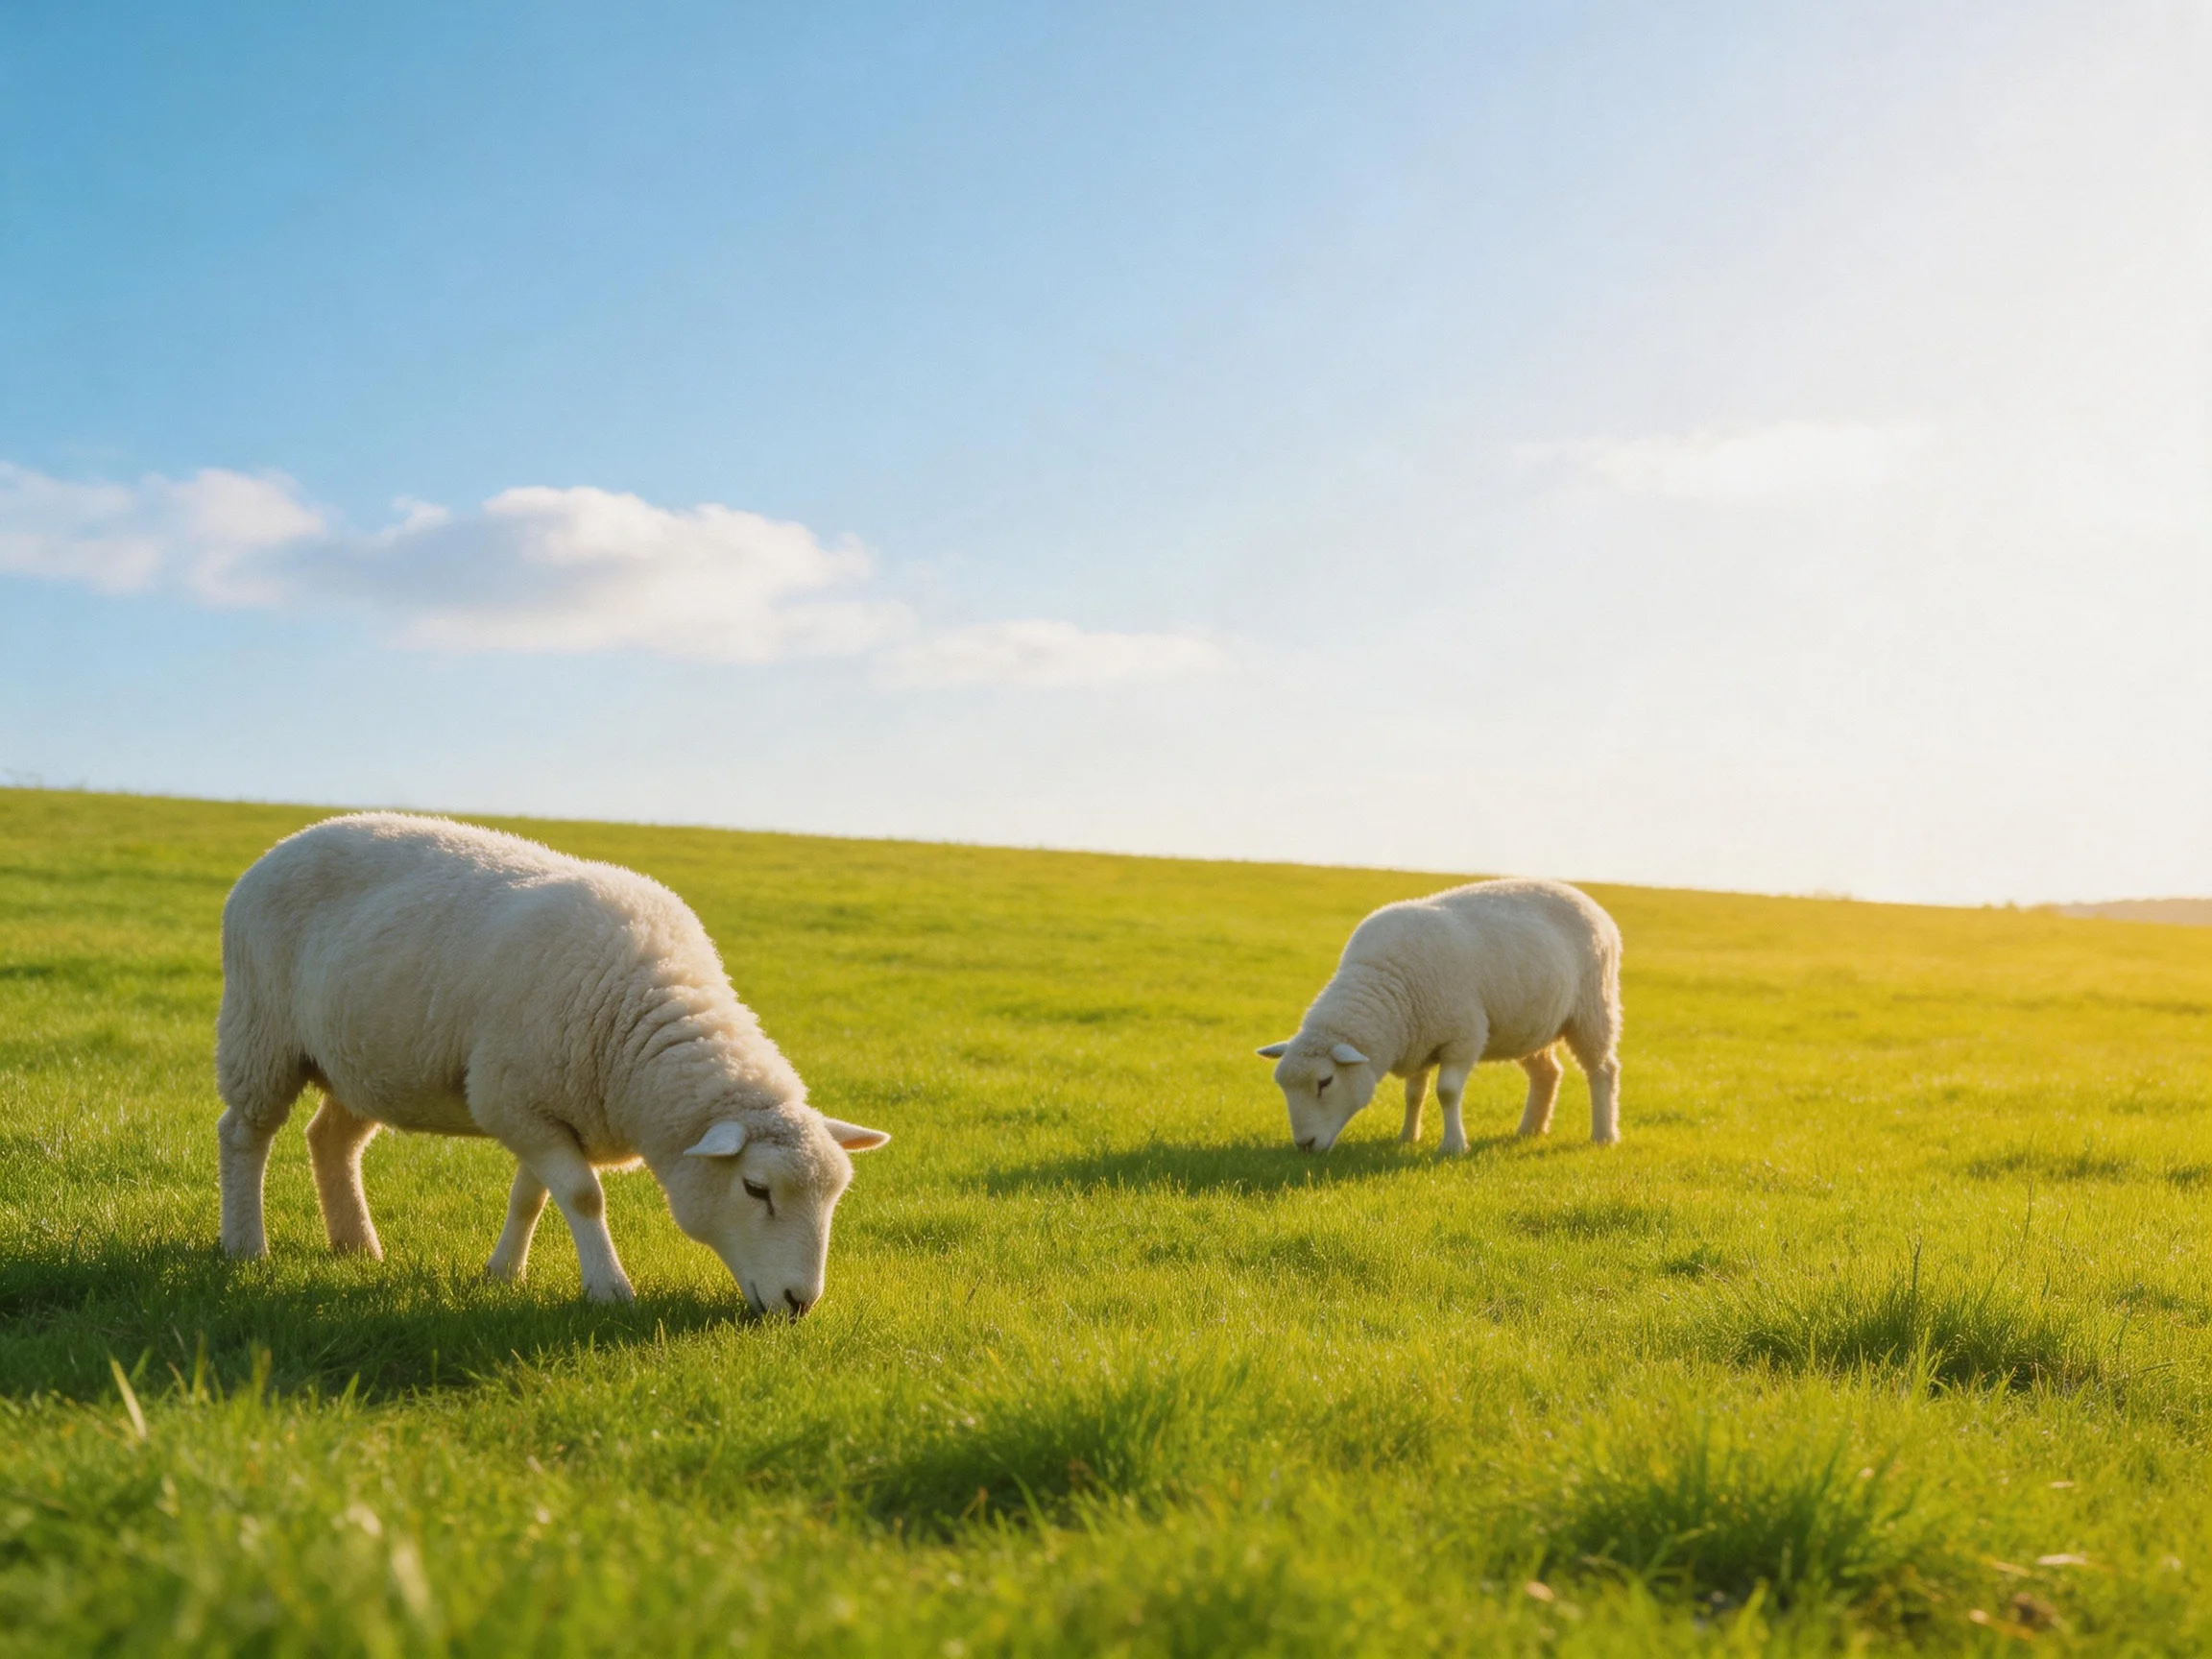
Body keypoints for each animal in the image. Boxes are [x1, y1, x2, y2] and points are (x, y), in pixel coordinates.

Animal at [214, 813, 889, 1314]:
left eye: (834, 1197)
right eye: (756, 1189)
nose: (800, 1302)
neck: (634, 1021)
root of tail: (283, 845)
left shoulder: (546, 1106)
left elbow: (532, 1197)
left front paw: (501, 1274)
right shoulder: (510, 1098)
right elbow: (583, 1196)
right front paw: (609, 1289)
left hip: (363, 1060)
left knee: (331, 1140)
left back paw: (356, 1247)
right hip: (260, 1029)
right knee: (244, 1134)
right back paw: (246, 1247)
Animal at [1256, 878, 1622, 1154]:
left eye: (1325, 1082)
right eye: (1283, 1086)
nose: (1304, 1145)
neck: (1385, 982)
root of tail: (1587, 899)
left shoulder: (1464, 1037)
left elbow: (1446, 1092)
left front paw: (1454, 1146)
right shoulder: (1418, 1038)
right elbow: (1413, 1094)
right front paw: (1407, 1137)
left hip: (1593, 1009)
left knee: (1603, 1070)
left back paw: (1603, 1135)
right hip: (1527, 1025)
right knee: (1547, 1073)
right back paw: (1530, 1129)